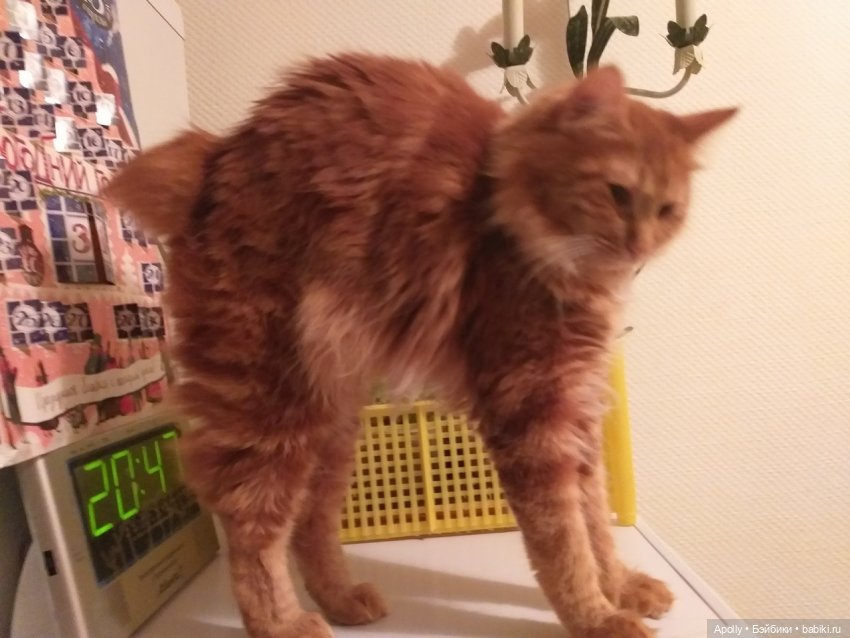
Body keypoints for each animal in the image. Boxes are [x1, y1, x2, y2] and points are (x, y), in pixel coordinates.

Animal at [105, 54, 735, 638]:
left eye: (668, 211)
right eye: (618, 194)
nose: (640, 247)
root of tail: (219, 155)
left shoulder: (576, 411)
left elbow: (597, 527)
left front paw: (622, 588)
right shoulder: (532, 414)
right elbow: (564, 544)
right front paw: (597, 617)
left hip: (330, 422)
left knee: (310, 524)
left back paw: (342, 600)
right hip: (270, 403)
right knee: (251, 529)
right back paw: (283, 624)